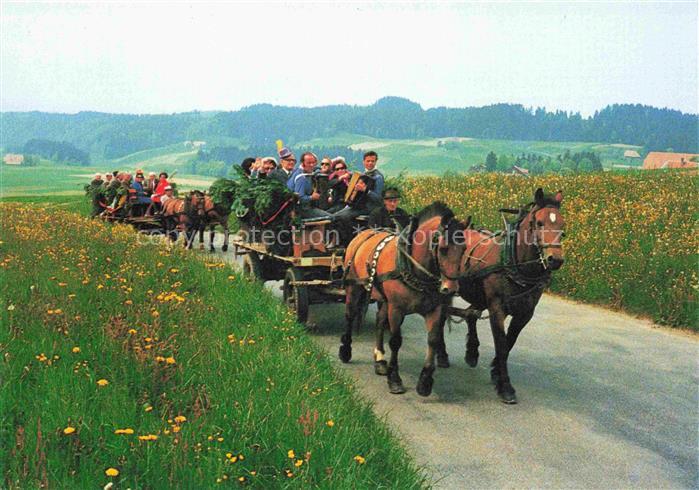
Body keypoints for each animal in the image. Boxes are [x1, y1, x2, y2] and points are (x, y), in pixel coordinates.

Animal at [340, 201, 468, 396]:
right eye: (444, 249)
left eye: (464, 249)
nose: (451, 288)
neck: (414, 267)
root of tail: (363, 233)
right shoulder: (397, 309)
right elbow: (395, 341)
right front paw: (394, 379)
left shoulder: (435, 309)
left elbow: (433, 339)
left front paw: (425, 381)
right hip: (354, 287)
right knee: (350, 314)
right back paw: (346, 350)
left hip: (383, 298)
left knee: (379, 321)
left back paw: (379, 360)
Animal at [460, 187, 564, 402]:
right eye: (539, 223)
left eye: (562, 224)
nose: (555, 259)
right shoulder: (496, 308)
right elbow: (501, 344)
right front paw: (506, 387)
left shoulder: (525, 312)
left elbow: (510, 342)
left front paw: (495, 372)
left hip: (479, 296)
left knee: (470, 315)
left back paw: (472, 352)